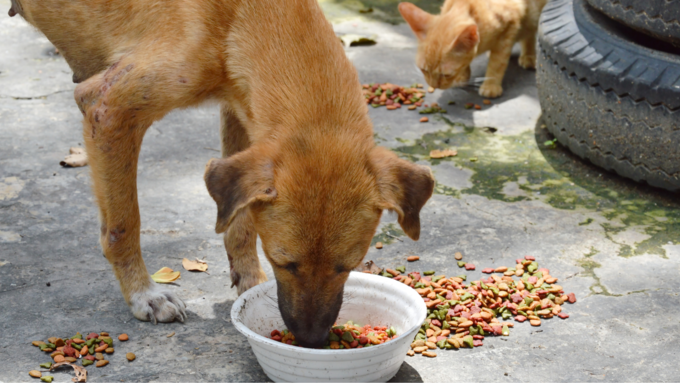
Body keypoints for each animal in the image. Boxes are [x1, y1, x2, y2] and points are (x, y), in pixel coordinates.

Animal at [9, 0, 436, 348]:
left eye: (348, 266)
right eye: (284, 262)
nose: (311, 341)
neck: (243, 16)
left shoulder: (242, 110)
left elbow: (240, 223)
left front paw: (250, 283)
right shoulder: (109, 109)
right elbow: (123, 225)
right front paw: (144, 294)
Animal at [398, 0, 548, 99]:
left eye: (446, 75)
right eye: (424, 70)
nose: (434, 86)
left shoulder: (509, 27)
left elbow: (497, 62)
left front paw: (490, 85)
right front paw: (463, 75)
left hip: (534, 15)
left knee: (530, 31)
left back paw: (529, 55)